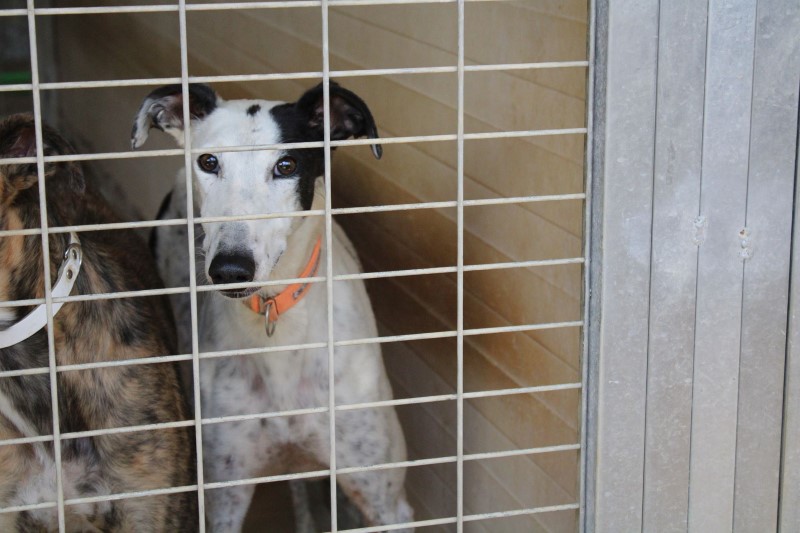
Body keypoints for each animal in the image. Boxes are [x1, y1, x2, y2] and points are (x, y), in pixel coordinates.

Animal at [132, 82, 414, 532]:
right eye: (208, 162)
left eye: (286, 164)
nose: (230, 269)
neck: (277, 321)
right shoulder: (224, 497)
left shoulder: (385, 499)